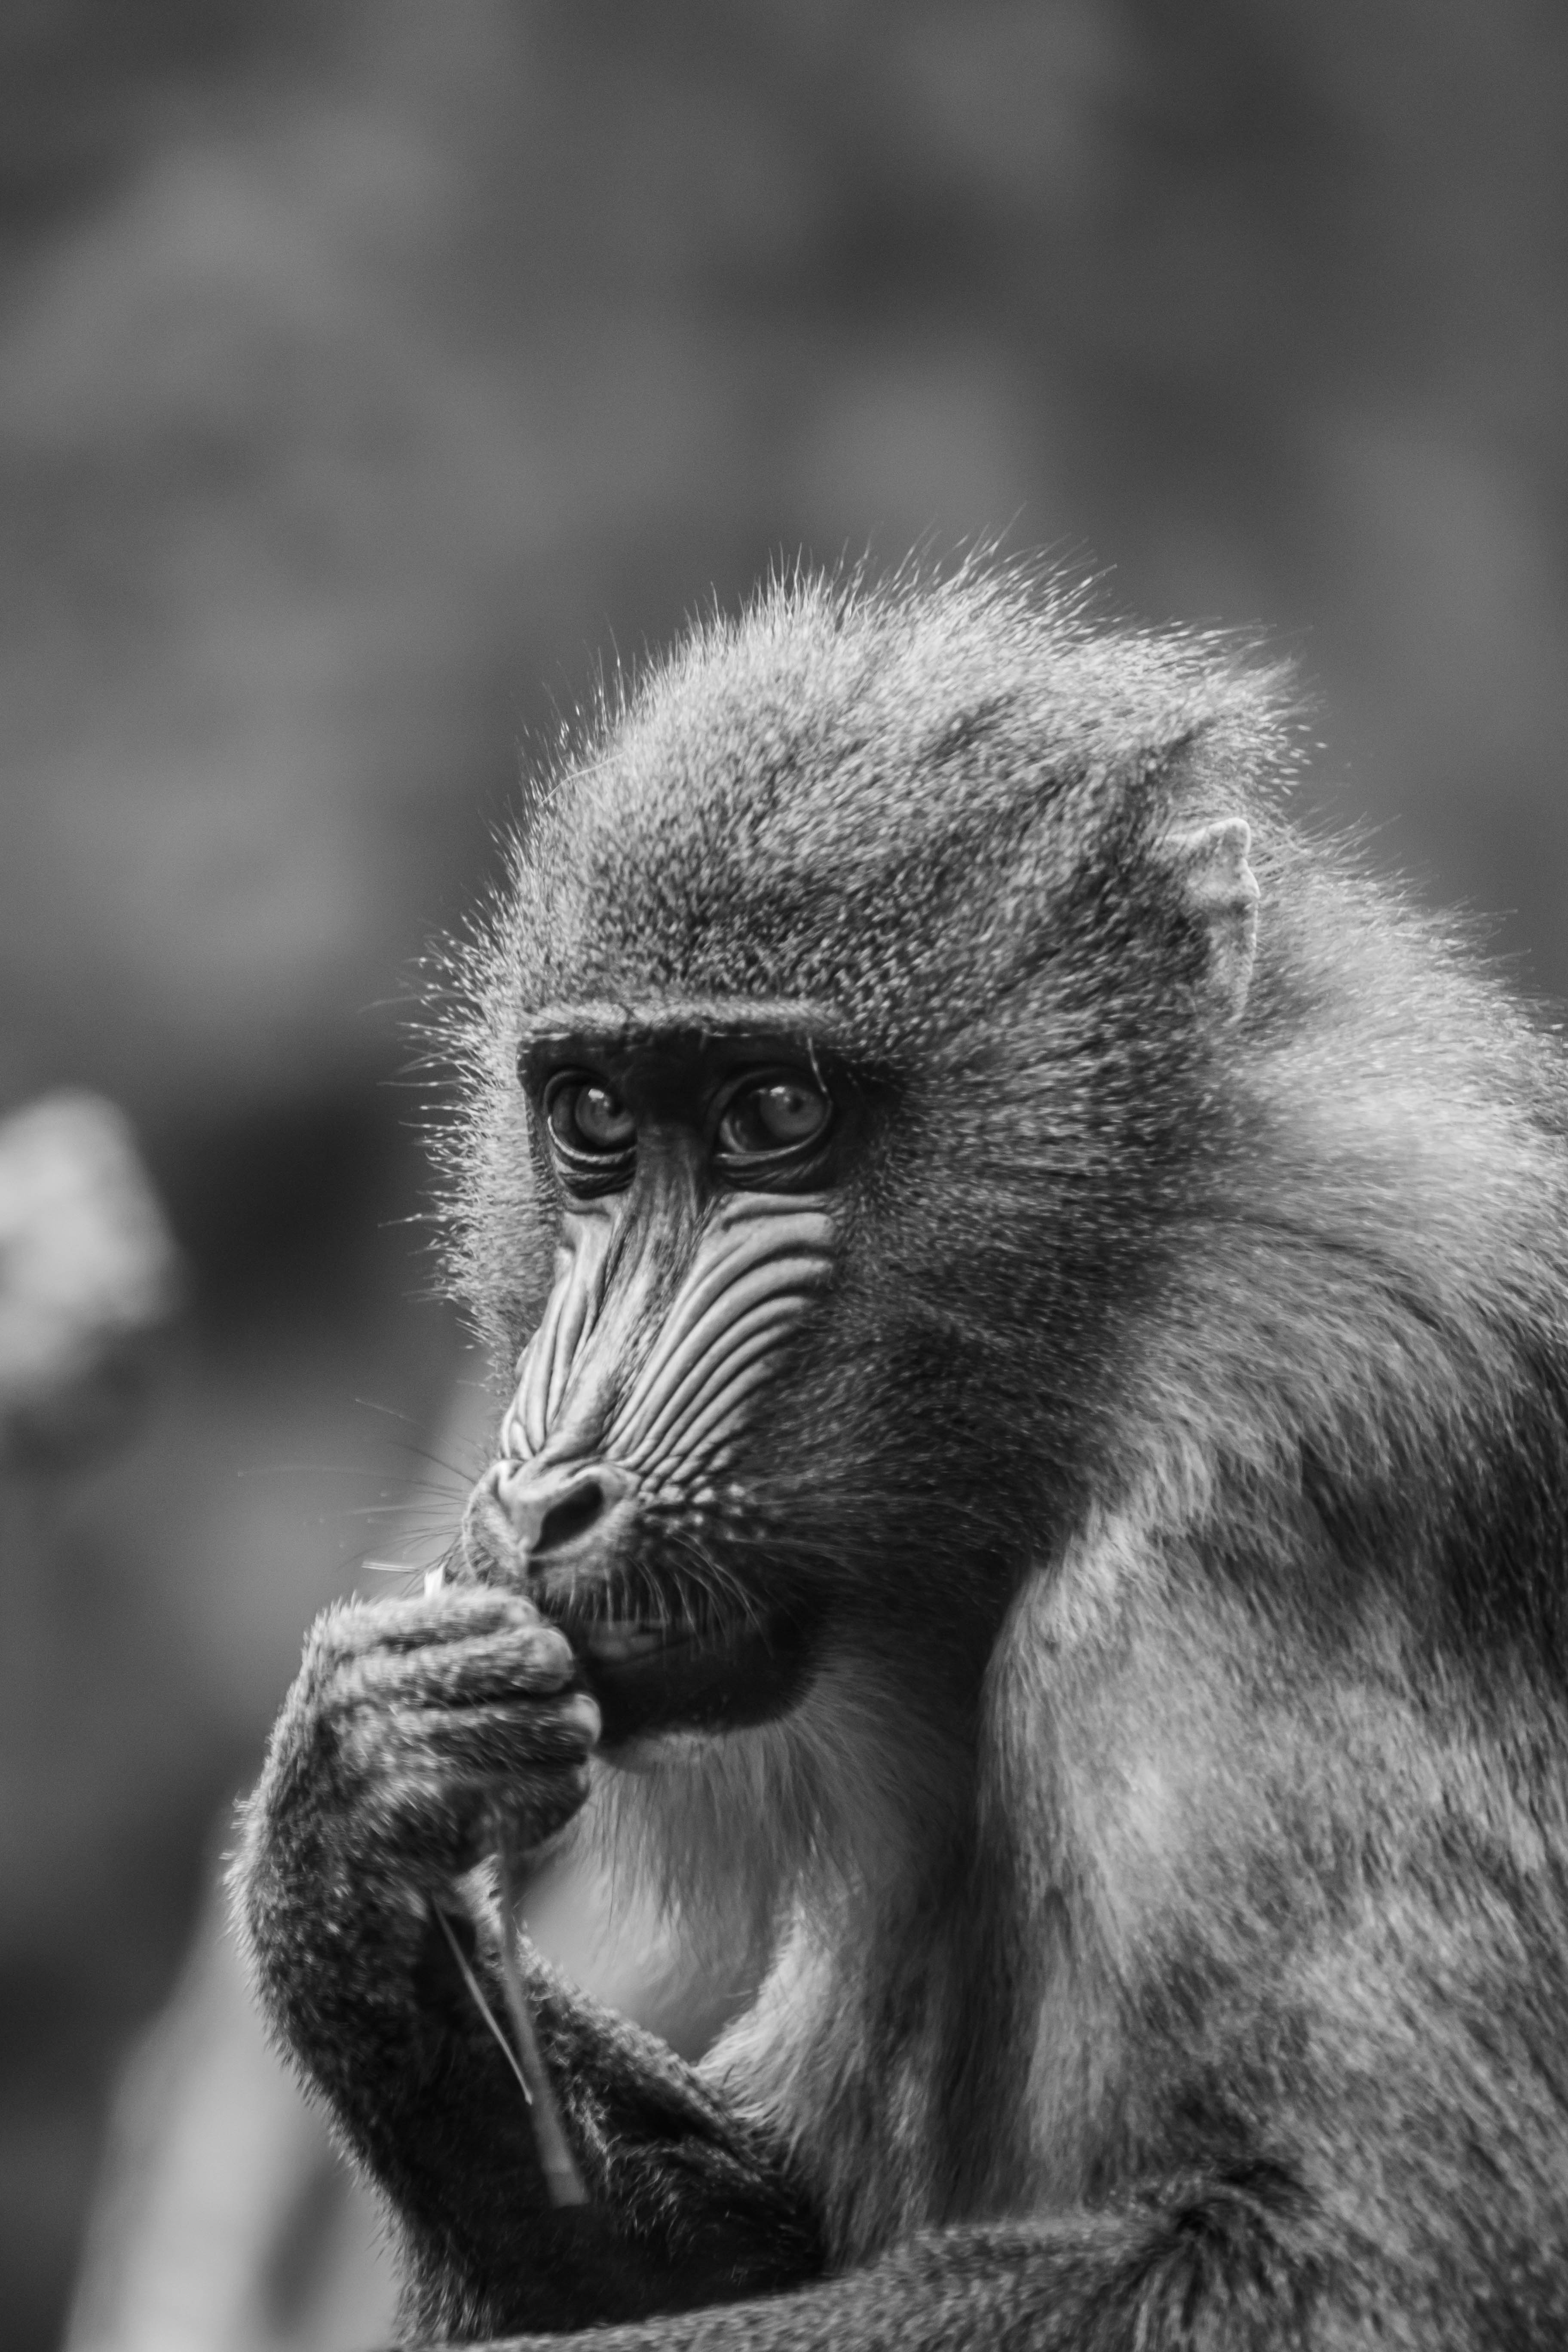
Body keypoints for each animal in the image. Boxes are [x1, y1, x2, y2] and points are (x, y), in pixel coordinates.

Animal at [235, 562, 1568, 2349]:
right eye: (592, 1116)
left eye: (770, 1114)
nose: (548, 1496)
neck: (1090, 1331)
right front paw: (363, 1802)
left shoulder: (1276, 1512)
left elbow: (1350, 2252)